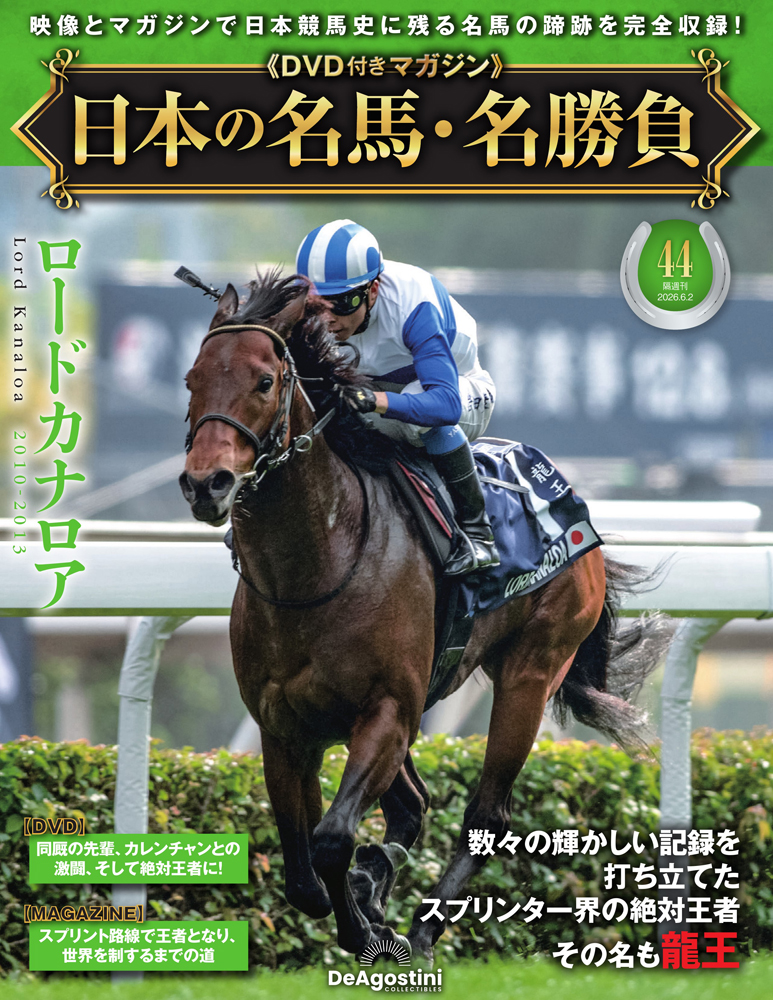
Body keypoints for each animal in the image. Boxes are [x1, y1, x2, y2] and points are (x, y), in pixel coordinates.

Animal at [179, 270, 668, 964]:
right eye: (192, 379)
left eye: (265, 381)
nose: (207, 484)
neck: (315, 568)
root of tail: (571, 501)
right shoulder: (285, 726)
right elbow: (303, 875)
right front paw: (365, 899)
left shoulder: (386, 709)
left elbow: (332, 840)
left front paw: (366, 929)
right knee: (413, 805)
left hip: (530, 669)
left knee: (487, 817)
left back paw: (421, 928)